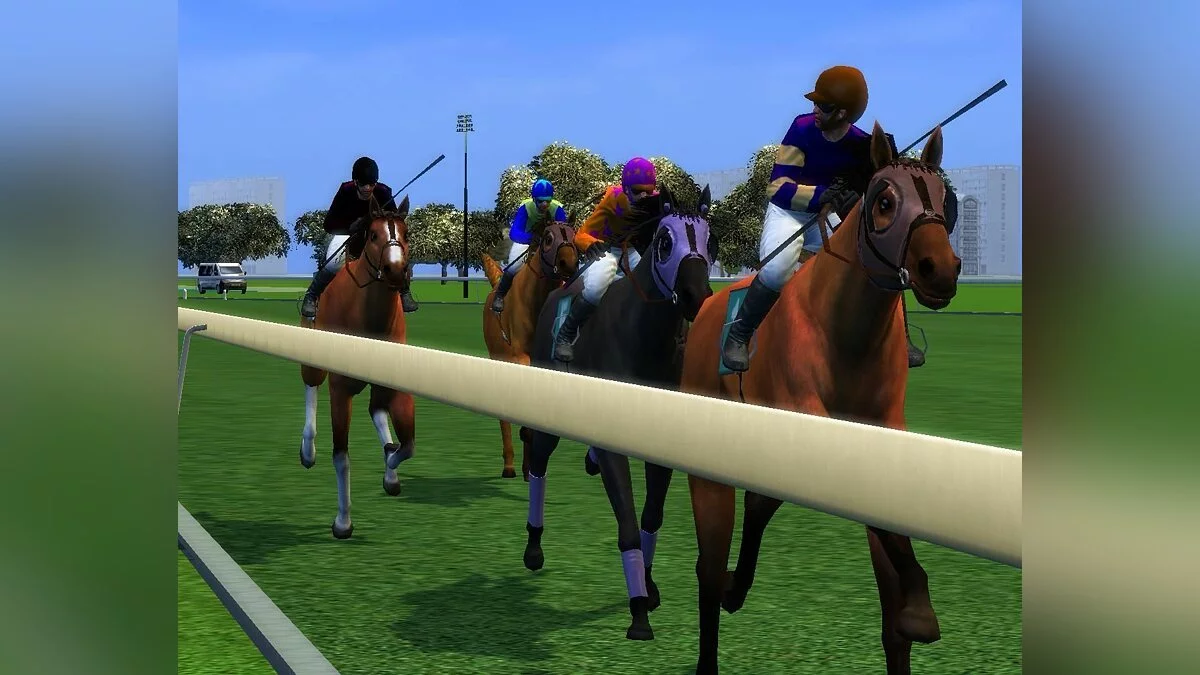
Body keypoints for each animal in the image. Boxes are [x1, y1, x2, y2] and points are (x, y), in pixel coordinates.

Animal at [298, 195, 417, 540]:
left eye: (406, 234)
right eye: (374, 234)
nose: (395, 271)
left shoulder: (395, 385)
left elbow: (407, 446)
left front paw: (390, 464)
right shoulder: (341, 390)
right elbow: (342, 457)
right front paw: (342, 522)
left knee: (376, 410)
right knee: (311, 384)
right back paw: (307, 451)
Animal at [480, 217, 580, 481]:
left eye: (573, 236)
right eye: (548, 238)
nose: (569, 264)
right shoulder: (519, 356)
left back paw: (527, 468)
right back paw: (510, 466)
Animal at [520, 185, 716, 641]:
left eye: (710, 240)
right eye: (664, 241)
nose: (698, 297)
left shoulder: (661, 442)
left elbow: (651, 516)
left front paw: (650, 586)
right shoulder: (614, 448)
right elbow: (627, 523)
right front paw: (639, 612)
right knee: (538, 465)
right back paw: (534, 547)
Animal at [679, 123, 961, 674]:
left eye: (945, 198)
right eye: (885, 200)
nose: (940, 269)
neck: (845, 327)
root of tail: (704, 310)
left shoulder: (883, 428)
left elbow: (893, 614)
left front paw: (914, 611)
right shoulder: (808, 415)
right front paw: (921, 607)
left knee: (759, 503)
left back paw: (737, 587)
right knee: (708, 564)